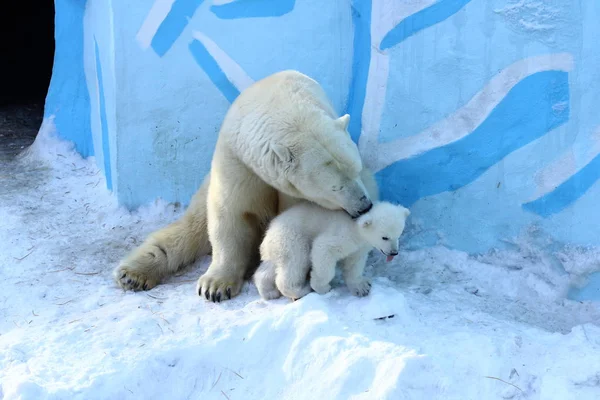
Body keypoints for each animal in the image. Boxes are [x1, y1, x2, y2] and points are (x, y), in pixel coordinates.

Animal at [114, 69, 378, 300]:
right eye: (335, 188)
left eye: (357, 170)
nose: (364, 206)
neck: (278, 98)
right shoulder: (237, 161)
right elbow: (229, 214)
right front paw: (215, 287)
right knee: (189, 230)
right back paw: (132, 274)